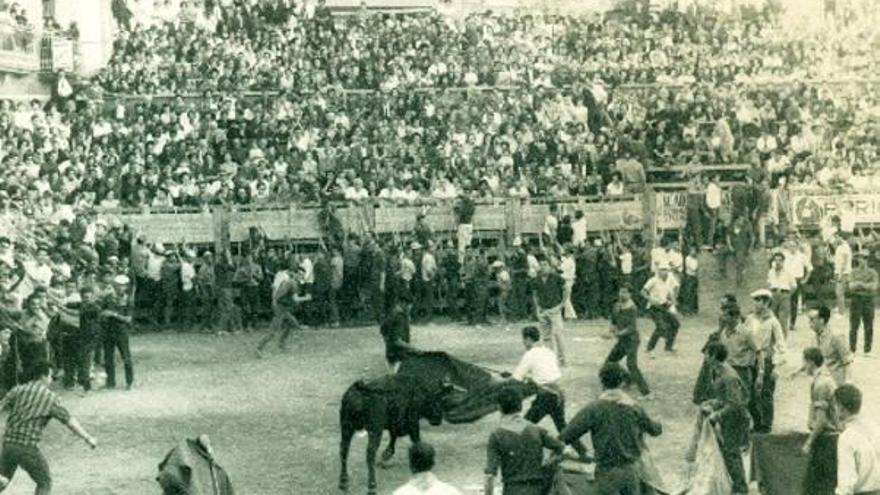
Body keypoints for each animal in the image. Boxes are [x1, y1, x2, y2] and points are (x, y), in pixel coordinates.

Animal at [340, 350, 540, 494]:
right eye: (437, 400)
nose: (437, 420)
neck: (419, 385)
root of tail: (360, 389)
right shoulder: (411, 421)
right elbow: (413, 439)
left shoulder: (399, 420)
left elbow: (395, 435)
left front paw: (387, 455)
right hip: (373, 429)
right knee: (368, 453)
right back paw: (371, 485)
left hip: (346, 427)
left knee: (343, 449)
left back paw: (343, 482)